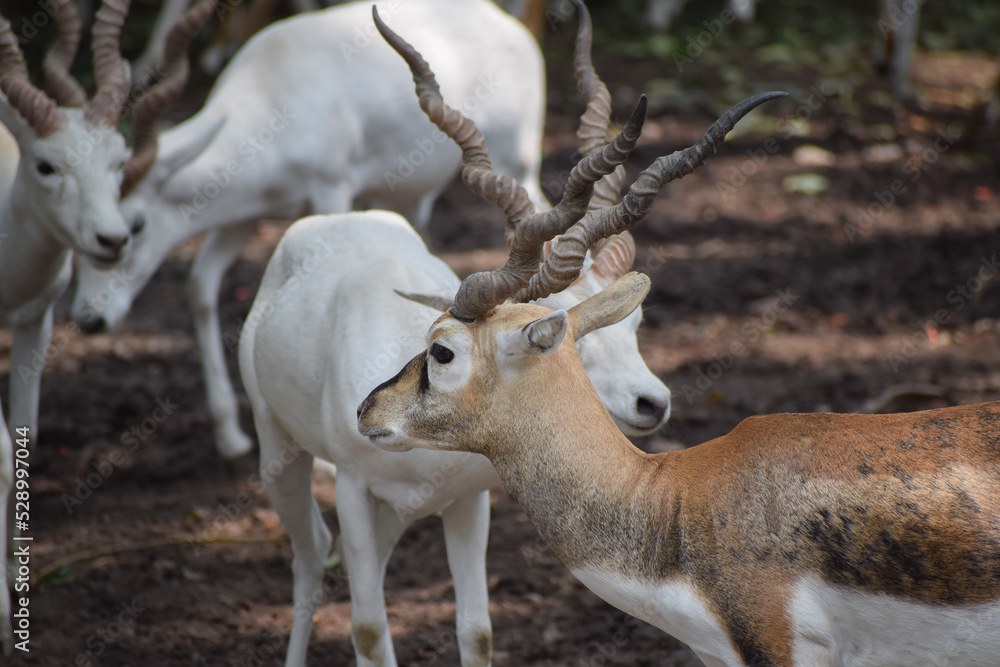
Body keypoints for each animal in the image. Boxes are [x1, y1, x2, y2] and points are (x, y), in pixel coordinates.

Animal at [70, 0, 551, 460]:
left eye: (135, 225)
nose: (90, 319)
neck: (273, 95)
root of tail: (504, 22)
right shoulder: (243, 216)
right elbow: (199, 285)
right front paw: (229, 435)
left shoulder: (331, 190)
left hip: (517, 164)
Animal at [237, 3, 681, 664]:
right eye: (559, 332)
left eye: (635, 323)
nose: (652, 402)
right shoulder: (353, 490)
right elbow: (367, 628)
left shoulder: (470, 502)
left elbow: (476, 628)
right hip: (280, 456)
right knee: (310, 557)